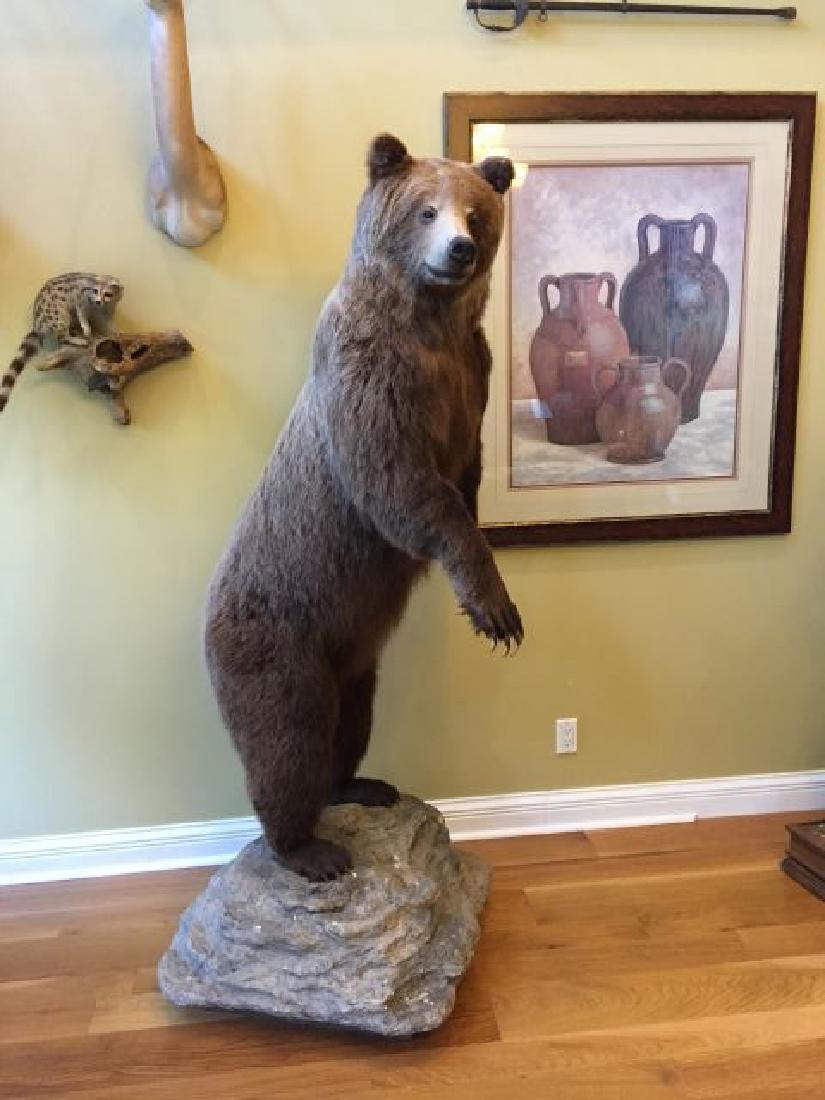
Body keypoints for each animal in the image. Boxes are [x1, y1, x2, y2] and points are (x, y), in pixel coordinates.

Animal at [203, 134, 523, 881]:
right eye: (426, 209)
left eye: (476, 210)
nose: (459, 249)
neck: (430, 328)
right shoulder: (372, 378)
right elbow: (402, 487)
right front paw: (495, 609)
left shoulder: (472, 375)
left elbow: (463, 474)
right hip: (279, 635)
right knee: (287, 739)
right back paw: (307, 848)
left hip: (351, 652)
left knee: (349, 721)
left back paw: (363, 784)